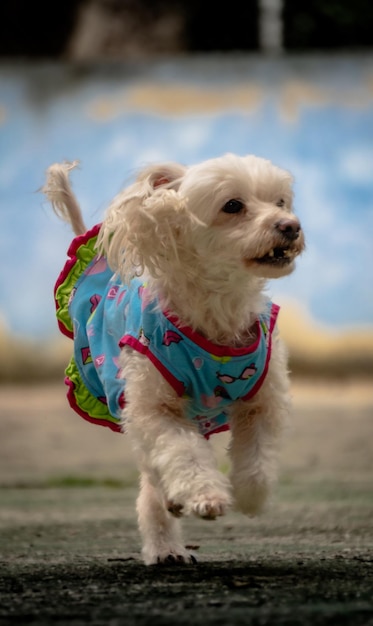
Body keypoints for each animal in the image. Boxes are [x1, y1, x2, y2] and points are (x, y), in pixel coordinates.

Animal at [43, 154, 304, 564]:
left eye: (280, 202)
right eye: (233, 205)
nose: (290, 226)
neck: (217, 313)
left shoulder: (263, 400)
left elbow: (258, 457)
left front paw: (249, 496)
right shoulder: (154, 407)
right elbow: (183, 453)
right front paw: (205, 496)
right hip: (124, 396)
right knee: (155, 470)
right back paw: (166, 537)